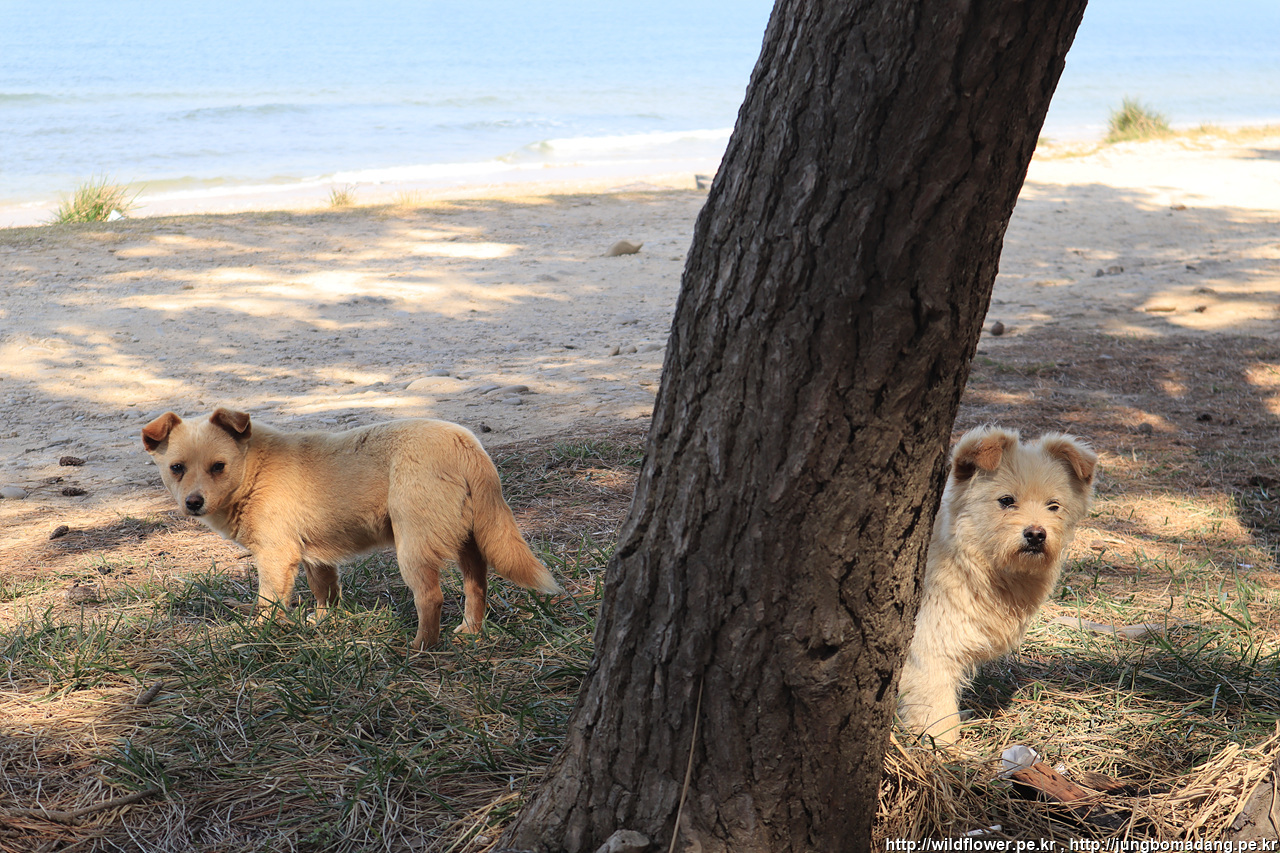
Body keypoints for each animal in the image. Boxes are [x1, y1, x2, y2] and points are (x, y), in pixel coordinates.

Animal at [141, 408, 559, 649]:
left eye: (218, 467)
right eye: (177, 468)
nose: (193, 502)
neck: (254, 469)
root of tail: (466, 443)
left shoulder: (276, 555)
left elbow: (268, 601)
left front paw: (258, 633)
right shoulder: (314, 557)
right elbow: (324, 591)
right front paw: (323, 621)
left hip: (413, 546)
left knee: (431, 598)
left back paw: (420, 647)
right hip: (468, 541)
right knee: (477, 585)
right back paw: (470, 630)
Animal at [897, 425, 1097, 744]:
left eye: (1053, 506)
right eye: (1006, 500)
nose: (1036, 534)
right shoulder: (929, 650)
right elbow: (937, 712)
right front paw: (943, 748)